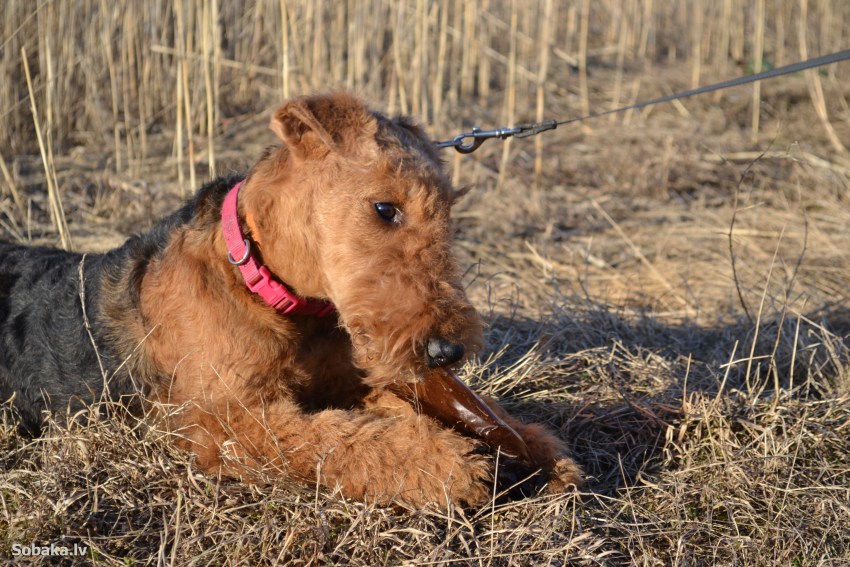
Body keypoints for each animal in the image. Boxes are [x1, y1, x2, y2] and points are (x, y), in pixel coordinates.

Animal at [0, 94, 580, 510]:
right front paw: (456, 466)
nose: (447, 352)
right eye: (385, 207)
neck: (266, 285)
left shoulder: (351, 381)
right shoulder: (223, 421)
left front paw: (538, 454)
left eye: (450, 211)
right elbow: (335, 441)